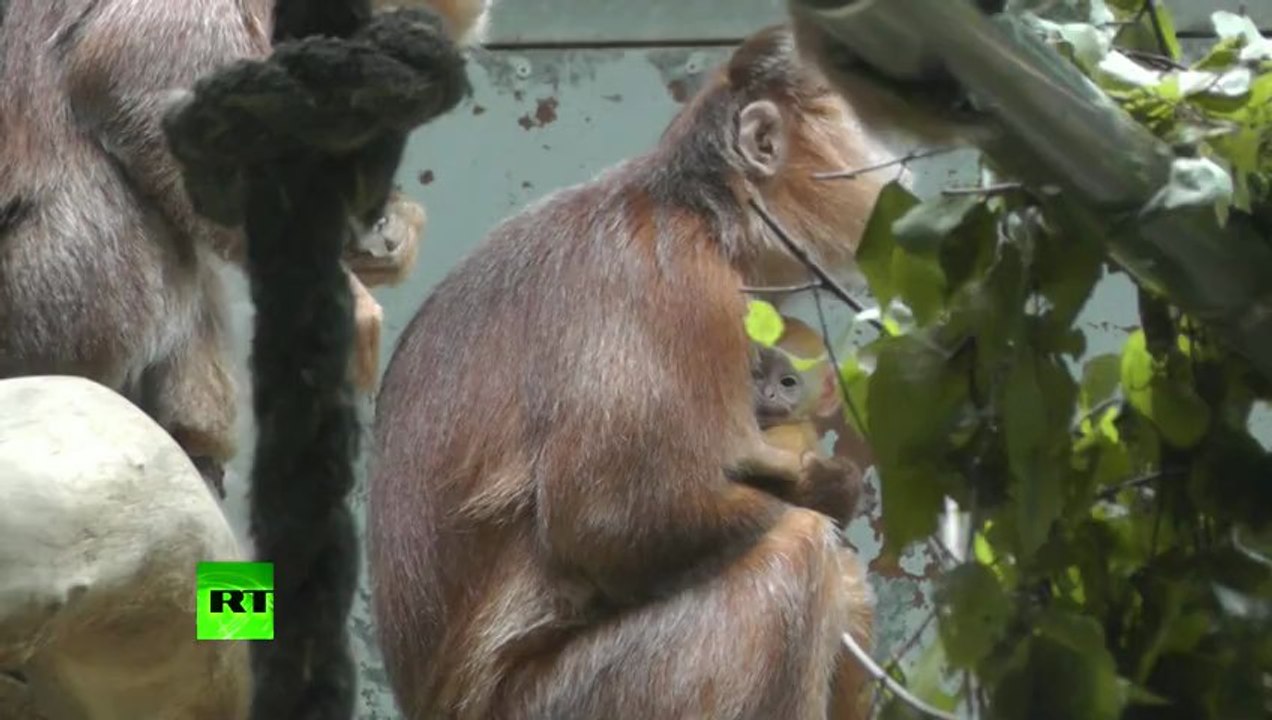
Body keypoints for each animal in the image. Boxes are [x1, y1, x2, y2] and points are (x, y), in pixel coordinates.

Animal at [370, 25, 881, 720]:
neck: (700, 212)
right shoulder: (675, 286)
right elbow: (612, 521)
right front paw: (831, 492)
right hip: (577, 697)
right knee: (800, 553)